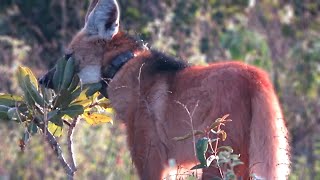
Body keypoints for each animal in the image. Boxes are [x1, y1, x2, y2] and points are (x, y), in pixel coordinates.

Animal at [38, 0, 292, 179]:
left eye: (67, 56)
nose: (41, 80)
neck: (124, 66)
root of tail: (257, 77)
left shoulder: (151, 161)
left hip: (217, 160)